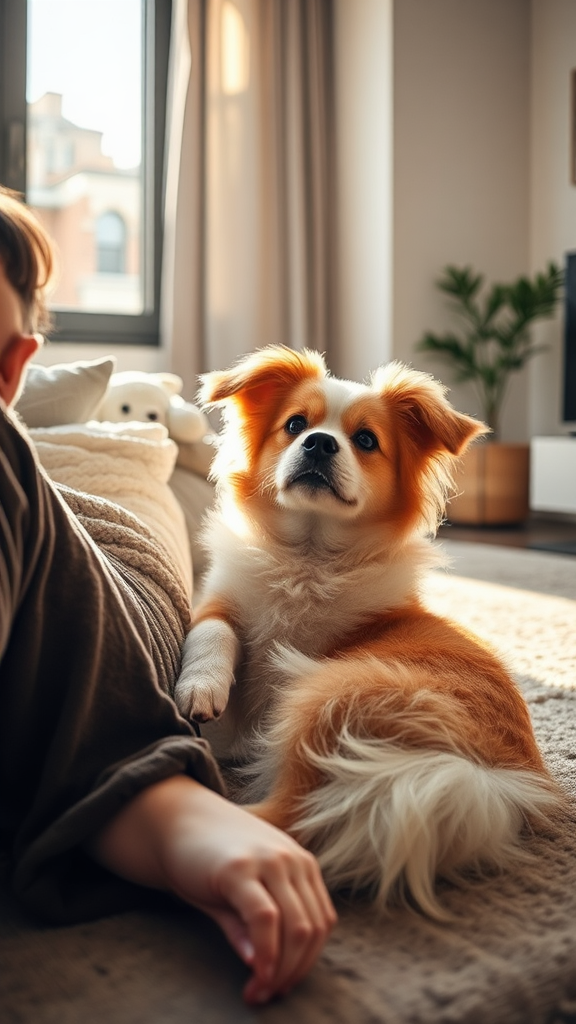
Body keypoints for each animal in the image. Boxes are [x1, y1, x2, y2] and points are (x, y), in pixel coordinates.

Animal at [174, 348, 557, 917]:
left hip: (325, 696)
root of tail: (488, 778)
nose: (319, 442)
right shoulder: (219, 602)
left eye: (367, 440)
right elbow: (214, 632)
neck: (308, 559)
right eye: (295, 425)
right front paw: (201, 688)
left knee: (282, 823)